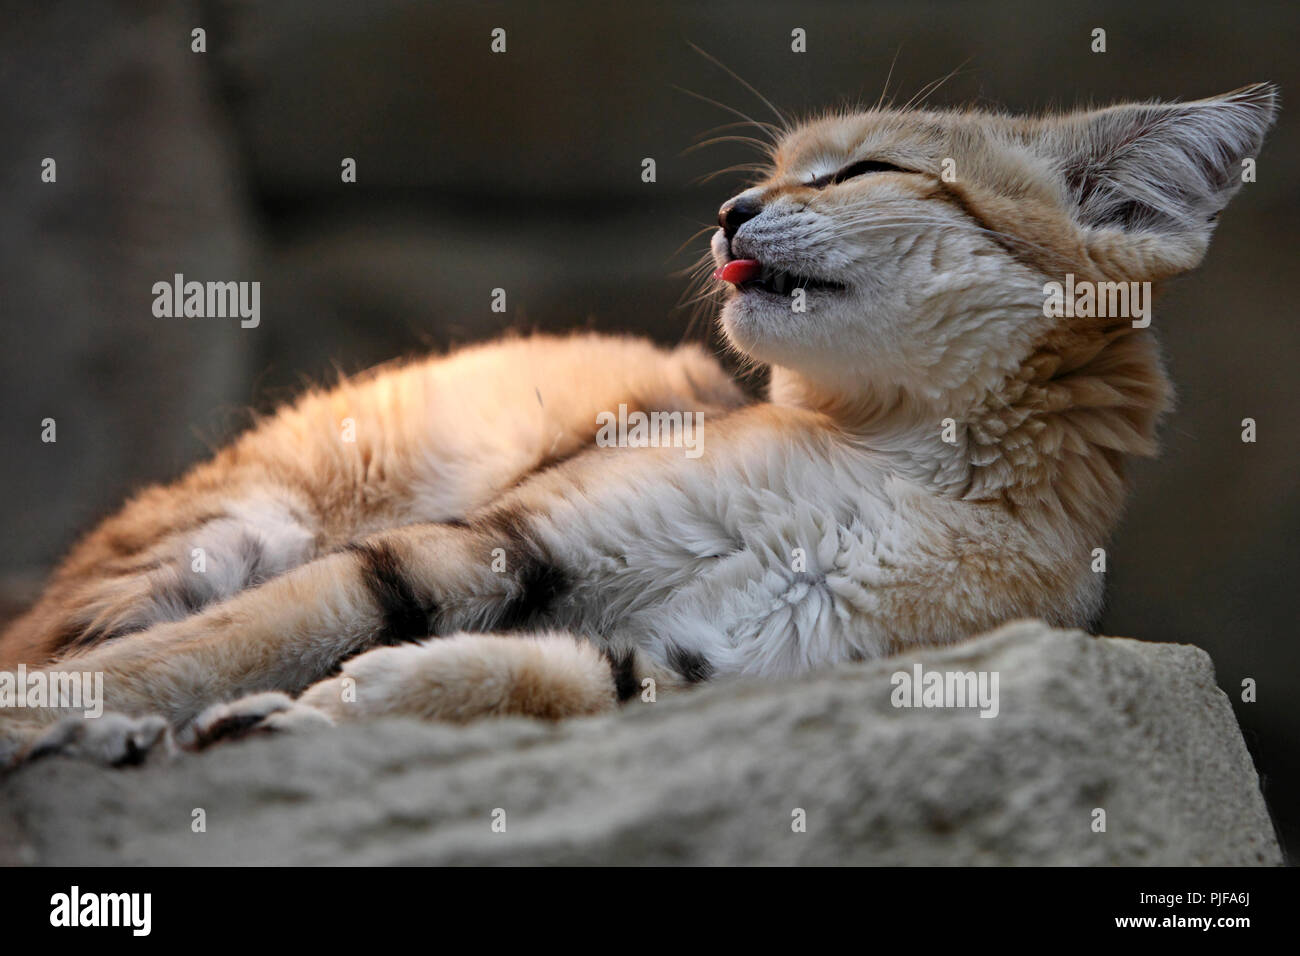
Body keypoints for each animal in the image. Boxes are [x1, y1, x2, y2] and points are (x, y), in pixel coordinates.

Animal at [0, 83, 1279, 770]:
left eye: (862, 167)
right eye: (776, 171)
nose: (728, 210)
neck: (901, 467)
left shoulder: (734, 668)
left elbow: (557, 679)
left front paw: (348, 699)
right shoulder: (500, 542)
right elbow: (212, 644)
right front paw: (61, 714)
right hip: (239, 527)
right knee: (68, 632)